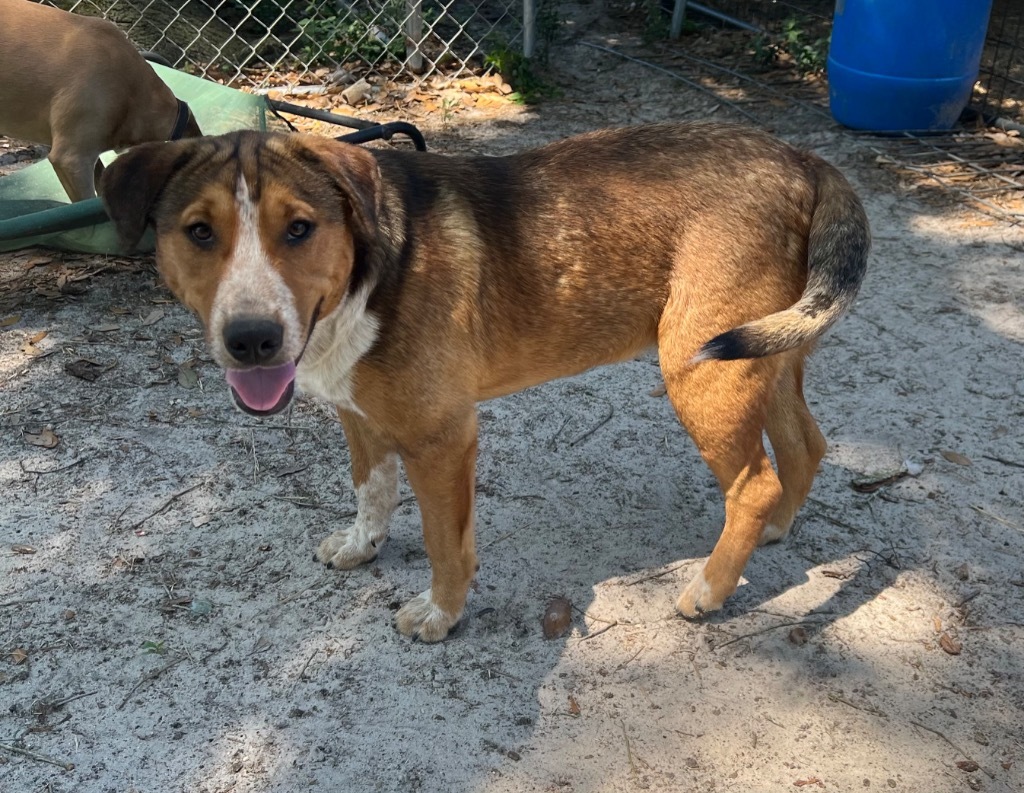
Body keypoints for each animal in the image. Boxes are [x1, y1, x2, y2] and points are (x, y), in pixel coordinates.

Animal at [99, 126, 872, 647]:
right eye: (199, 232)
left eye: (299, 228)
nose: (252, 339)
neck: (370, 272)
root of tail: (806, 160)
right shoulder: (360, 415)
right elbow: (371, 490)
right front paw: (362, 545)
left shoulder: (443, 440)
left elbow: (446, 542)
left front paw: (440, 615)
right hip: (766, 357)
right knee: (805, 448)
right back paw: (769, 534)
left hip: (702, 369)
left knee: (755, 482)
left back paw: (709, 589)